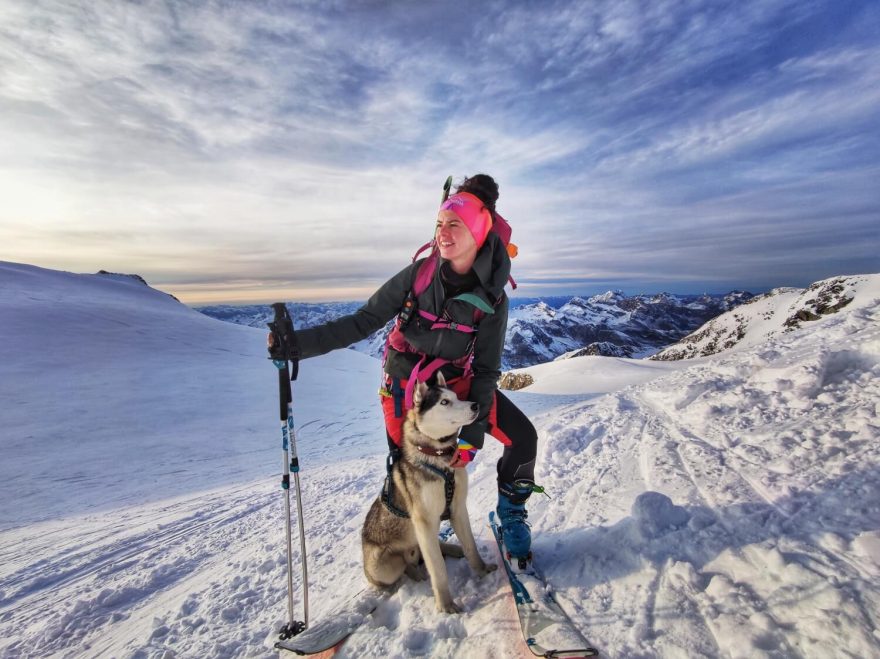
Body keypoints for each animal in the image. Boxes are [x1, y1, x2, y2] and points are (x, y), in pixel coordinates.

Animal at [362, 374, 496, 612]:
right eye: (444, 402)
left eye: (456, 396)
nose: (476, 405)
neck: (438, 457)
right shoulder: (424, 522)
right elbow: (438, 568)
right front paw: (446, 604)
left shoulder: (458, 509)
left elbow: (471, 547)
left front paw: (482, 570)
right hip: (383, 564)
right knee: (404, 565)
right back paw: (415, 572)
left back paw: (451, 549)